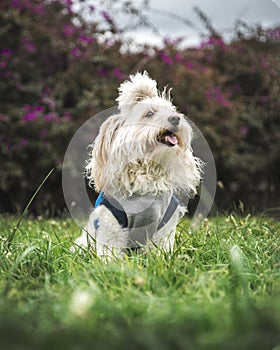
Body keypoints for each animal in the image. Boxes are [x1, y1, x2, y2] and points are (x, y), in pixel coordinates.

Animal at [73, 72, 202, 258]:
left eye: (172, 111)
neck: (147, 172)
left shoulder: (165, 225)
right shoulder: (112, 223)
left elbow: (161, 249)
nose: (176, 118)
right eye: (149, 114)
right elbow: (110, 251)